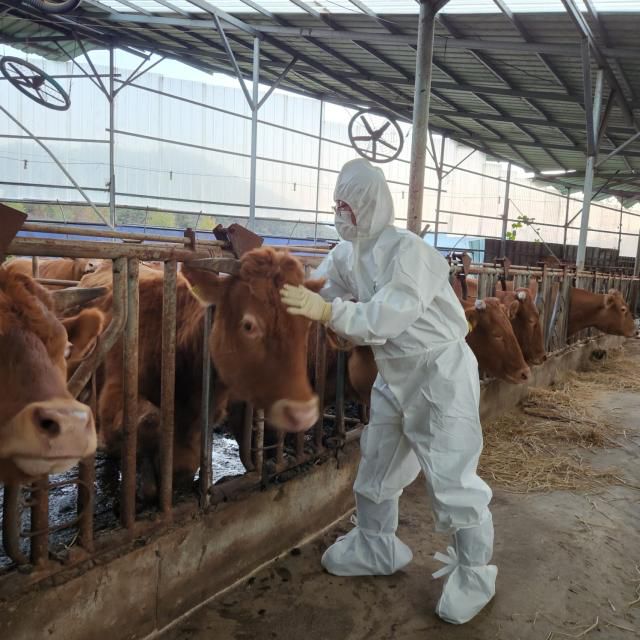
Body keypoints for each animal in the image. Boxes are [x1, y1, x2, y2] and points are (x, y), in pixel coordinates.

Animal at [82, 248, 323, 499]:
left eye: (307, 323)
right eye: (248, 325)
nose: (303, 412)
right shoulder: (114, 395)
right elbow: (149, 420)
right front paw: (146, 479)